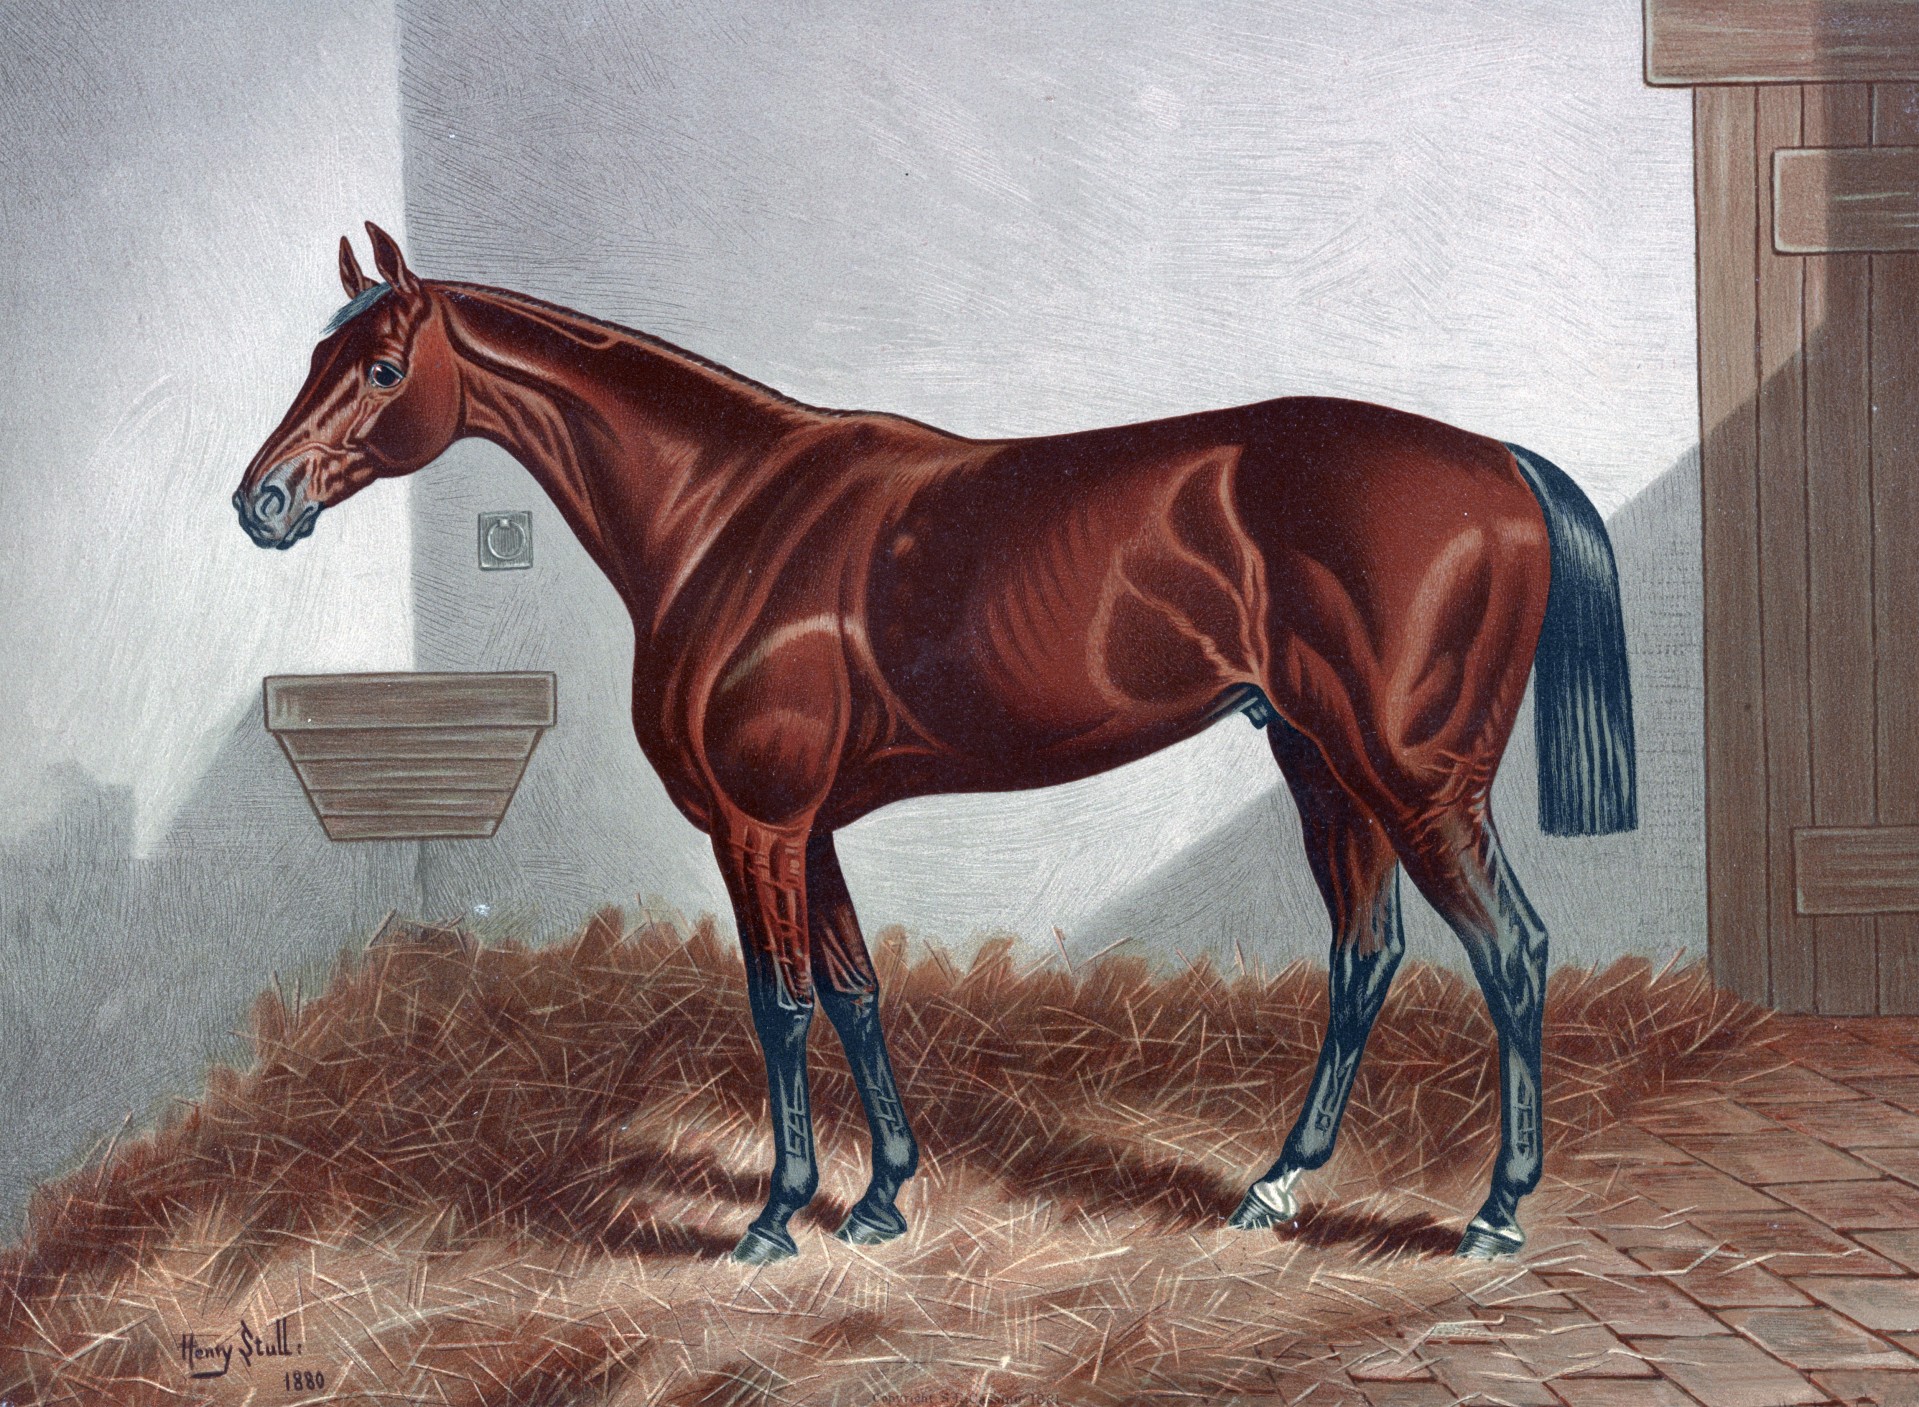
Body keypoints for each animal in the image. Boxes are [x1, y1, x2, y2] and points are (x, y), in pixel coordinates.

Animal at [235, 224, 1635, 1265]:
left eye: (379, 369)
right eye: (314, 356)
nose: (262, 501)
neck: (728, 513)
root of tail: (1498, 466)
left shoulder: (757, 824)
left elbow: (781, 1004)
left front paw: (774, 1215)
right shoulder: (807, 827)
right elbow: (854, 992)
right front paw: (880, 1196)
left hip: (1415, 780)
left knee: (1508, 952)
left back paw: (1494, 1211)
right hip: (1321, 766)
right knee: (1364, 955)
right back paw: (1274, 1186)